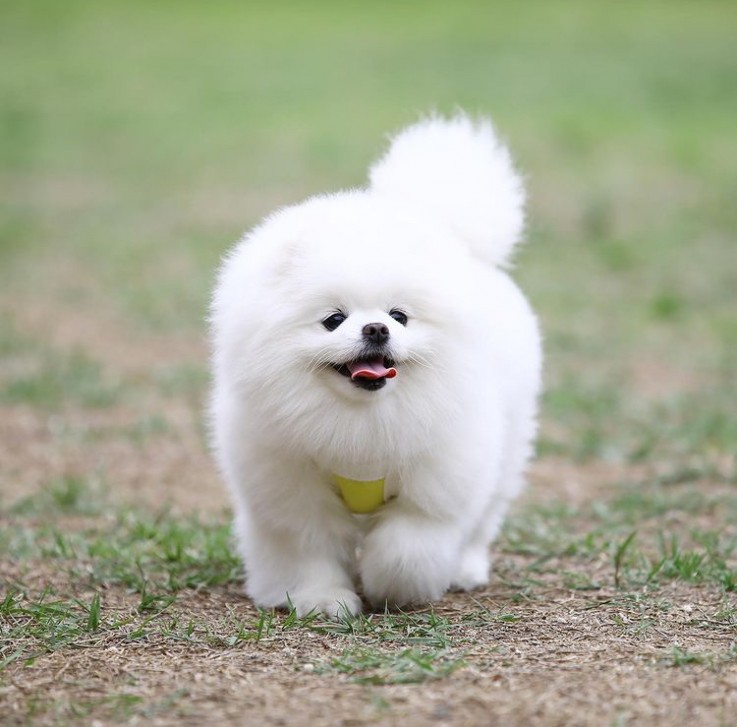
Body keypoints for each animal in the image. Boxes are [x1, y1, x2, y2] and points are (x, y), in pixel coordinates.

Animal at [207, 115, 540, 620]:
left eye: (399, 316)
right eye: (333, 319)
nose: (377, 329)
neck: (361, 427)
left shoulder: (435, 483)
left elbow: (409, 545)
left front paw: (391, 587)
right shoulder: (290, 490)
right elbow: (309, 549)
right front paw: (322, 600)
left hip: (505, 447)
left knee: (482, 518)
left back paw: (464, 570)